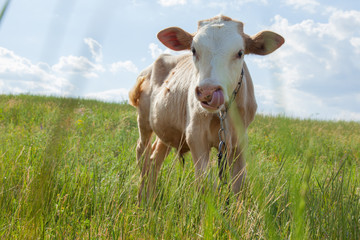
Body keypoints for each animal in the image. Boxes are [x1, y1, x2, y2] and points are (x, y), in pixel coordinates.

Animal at [129, 14, 284, 200]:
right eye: (193, 50)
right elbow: (205, 184)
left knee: (154, 159)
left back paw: (150, 198)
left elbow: (239, 186)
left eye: (240, 53)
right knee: (142, 152)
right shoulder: (195, 135)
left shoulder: (240, 140)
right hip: (144, 120)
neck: (222, 114)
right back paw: (141, 198)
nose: (208, 91)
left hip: (165, 128)